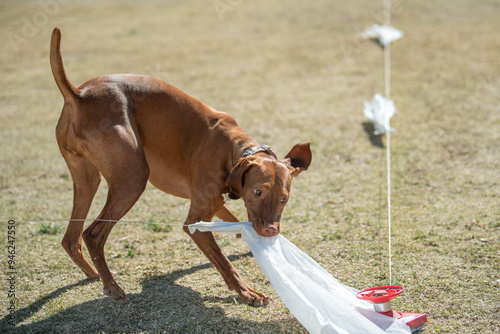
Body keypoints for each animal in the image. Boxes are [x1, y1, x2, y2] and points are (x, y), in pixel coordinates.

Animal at [48, 27, 310, 306]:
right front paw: (247, 292)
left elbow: (235, 223)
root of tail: (79, 95)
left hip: (88, 180)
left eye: (284, 199)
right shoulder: (194, 223)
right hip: (133, 179)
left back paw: (94, 274)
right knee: (92, 234)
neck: (235, 149)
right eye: (258, 192)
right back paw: (113, 286)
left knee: (71, 238)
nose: (271, 230)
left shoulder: (214, 203)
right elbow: (224, 263)